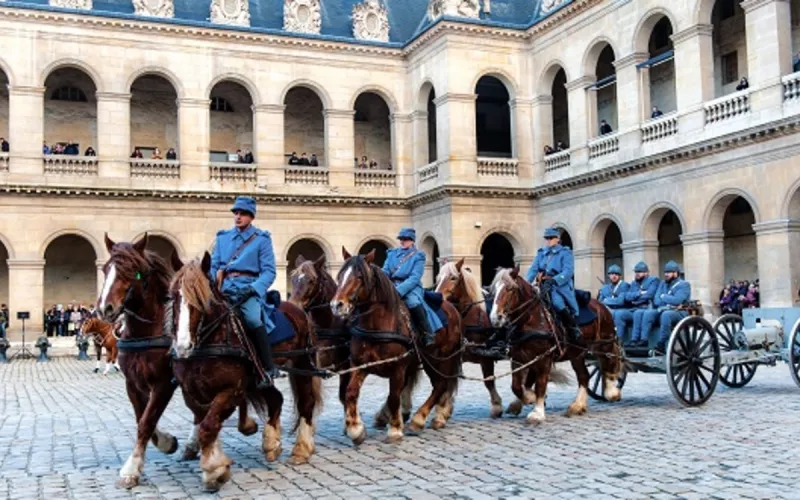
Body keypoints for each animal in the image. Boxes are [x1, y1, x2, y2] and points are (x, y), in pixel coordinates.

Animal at [170, 256, 324, 490]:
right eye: (173, 297)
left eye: (202, 300)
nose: (182, 346)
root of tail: (299, 310)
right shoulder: (192, 394)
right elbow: (208, 426)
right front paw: (216, 462)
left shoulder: (231, 391)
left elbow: (208, 427)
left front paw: (214, 471)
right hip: (259, 378)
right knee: (276, 399)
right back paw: (271, 442)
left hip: (302, 364)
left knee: (306, 402)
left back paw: (301, 449)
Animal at [328, 248, 462, 444]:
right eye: (340, 275)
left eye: (359, 276)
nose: (336, 305)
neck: (377, 325)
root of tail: (452, 308)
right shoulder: (360, 365)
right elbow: (350, 393)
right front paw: (356, 429)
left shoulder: (398, 368)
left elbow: (393, 396)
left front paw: (395, 430)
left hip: (439, 359)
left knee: (440, 385)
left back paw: (419, 420)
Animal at [434, 258, 504, 418]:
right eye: (438, 278)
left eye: (453, 278)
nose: (437, 298)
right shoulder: (453, 356)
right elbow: (449, 381)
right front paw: (444, 407)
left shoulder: (486, 357)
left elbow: (489, 381)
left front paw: (497, 405)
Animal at [488, 268, 624, 424]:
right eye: (493, 290)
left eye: (510, 289)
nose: (495, 318)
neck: (530, 319)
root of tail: (603, 306)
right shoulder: (518, 358)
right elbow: (517, 386)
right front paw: (525, 400)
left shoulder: (544, 358)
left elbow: (540, 384)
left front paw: (537, 412)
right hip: (576, 353)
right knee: (584, 376)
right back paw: (577, 405)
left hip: (604, 345)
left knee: (608, 364)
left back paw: (611, 392)